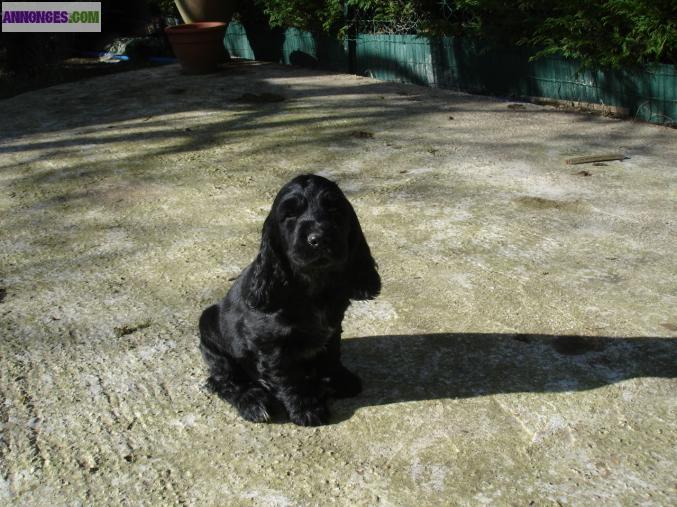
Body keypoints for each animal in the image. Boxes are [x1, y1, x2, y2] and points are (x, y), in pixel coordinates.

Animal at [201, 175, 380, 424]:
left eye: (334, 210)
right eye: (290, 215)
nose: (319, 238)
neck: (313, 284)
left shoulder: (333, 327)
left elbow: (331, 355)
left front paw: (340, 379)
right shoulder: (270, 344)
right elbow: (287, 377)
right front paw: (307, 409)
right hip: (209, 331)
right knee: (224, 380)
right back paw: (253, 402)